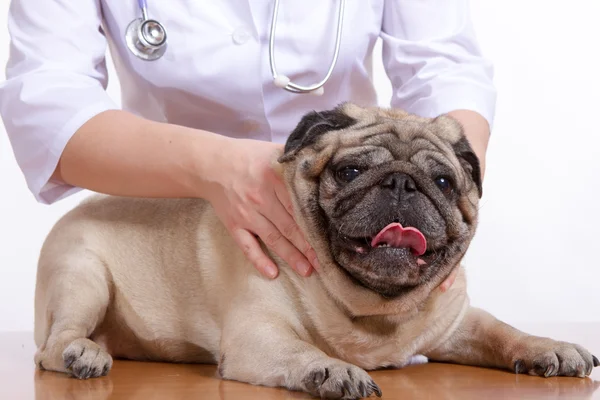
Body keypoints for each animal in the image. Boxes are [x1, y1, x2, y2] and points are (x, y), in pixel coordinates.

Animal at [35, 104, 596, 400]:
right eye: (349, 172)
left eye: (442, 181)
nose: (401, 183)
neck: (373, 308)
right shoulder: (260, 335)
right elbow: (303, 352)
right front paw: (336, 370)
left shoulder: (457, 324)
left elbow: (503, 331)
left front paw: (550, 346)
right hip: (83, 278)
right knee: (52, 346)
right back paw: (83, 353)